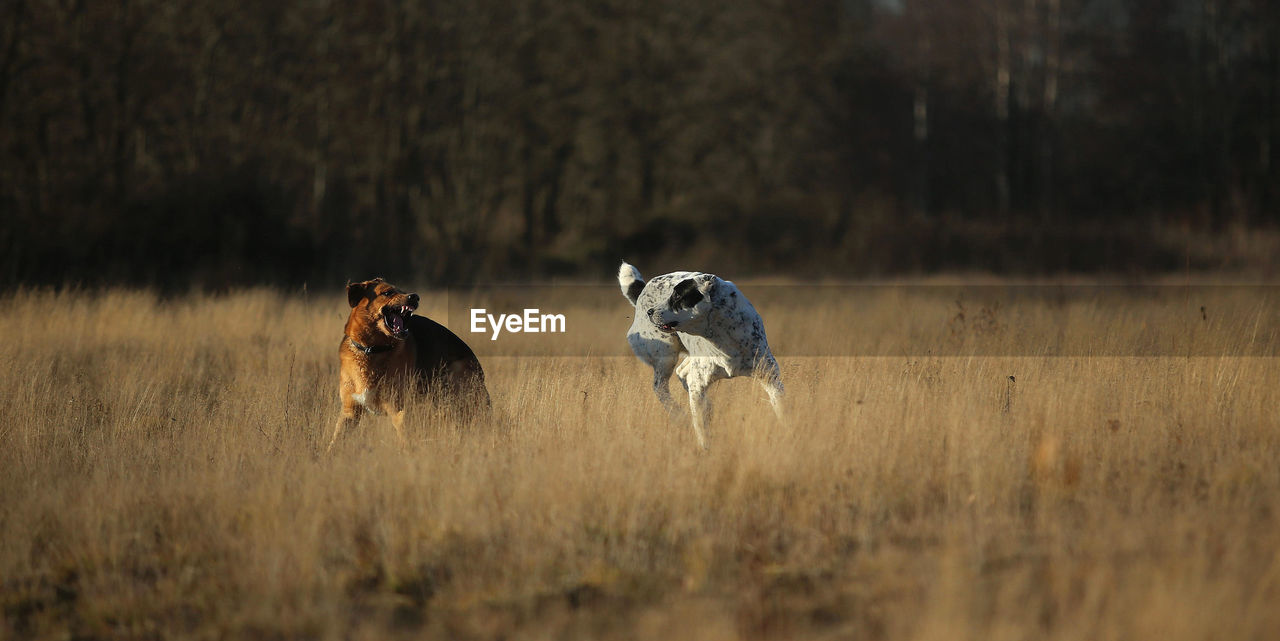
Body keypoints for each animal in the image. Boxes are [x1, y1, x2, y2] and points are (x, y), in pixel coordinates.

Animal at [330, 276, 488, 450]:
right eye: (387, 292)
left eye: (402, 291)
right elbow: (334, 442)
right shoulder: (350, 412)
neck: (372, 350)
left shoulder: (400, 411)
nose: (415, 297)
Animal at [616, 259, 783, 450]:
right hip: (665, 356)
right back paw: (680, 415)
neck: (722, 336)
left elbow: (782, 412)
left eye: (678, 296)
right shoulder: (698, 383)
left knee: (682, 374)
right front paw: (705, 448)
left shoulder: (771, 377)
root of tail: (642, 292)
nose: (650, 312)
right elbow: (701, 429)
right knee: (660, 387)